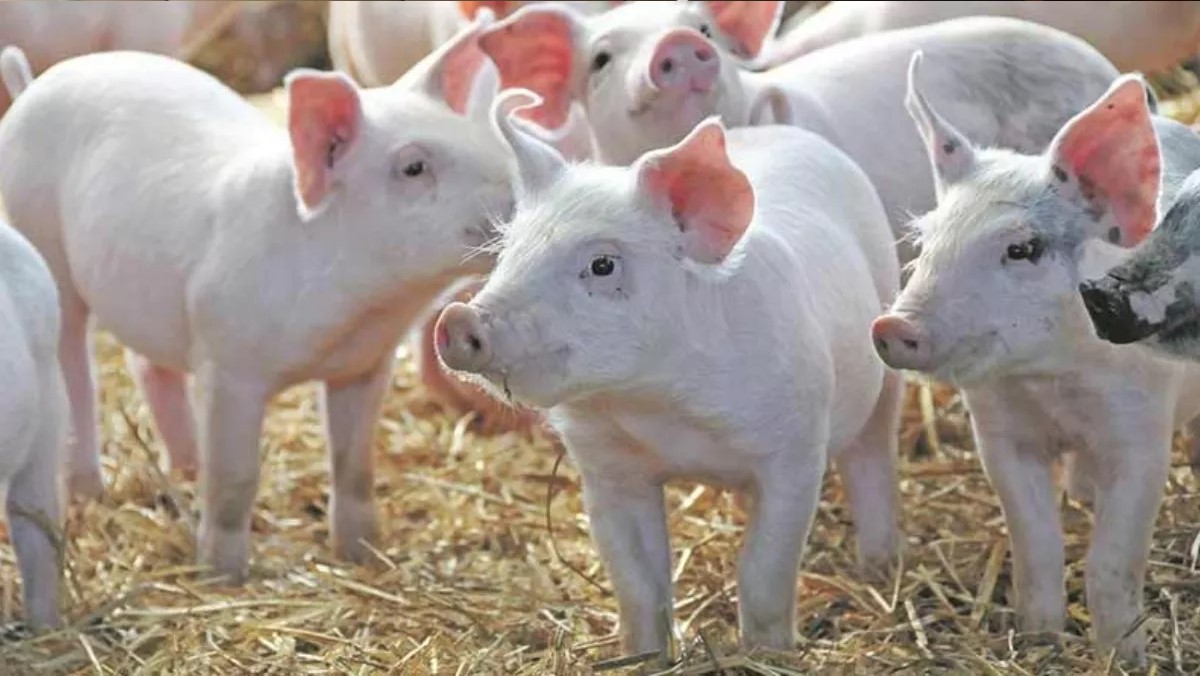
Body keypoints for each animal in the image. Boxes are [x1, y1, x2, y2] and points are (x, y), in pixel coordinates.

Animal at [0, 12, 513, 582]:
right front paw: (222, 575)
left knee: (149, 366)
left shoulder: (363, 366)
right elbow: (236, 479)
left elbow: (355, 466)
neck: (357, 313)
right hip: (42, 238)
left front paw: (362, 553)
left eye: (476, 139)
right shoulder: (229, 366)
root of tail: (35, 84)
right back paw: (93, 490)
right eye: (414, 168)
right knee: (78, 374)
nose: (518, 200)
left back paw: (186, 467)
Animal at [436, 89, 904, 656]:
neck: (660, 405)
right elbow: (638, 583)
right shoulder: (607, 469)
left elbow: (763, 574)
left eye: (603, 265)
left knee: (873, 453)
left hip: (884, 349)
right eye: (508, 252)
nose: (458, 319)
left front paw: (768, 655)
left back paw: (879, 566)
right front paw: (644, 656)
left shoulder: (795, 452)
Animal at [870, 54, 1200, 664]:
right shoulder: (998, 433)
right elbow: (1037, 544)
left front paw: (1125, 658)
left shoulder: (1141, 430)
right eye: (925, 242)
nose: (891, 326)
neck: (1052, 379)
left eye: (1022, 249)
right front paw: (1038, 641)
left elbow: (1111, 561)